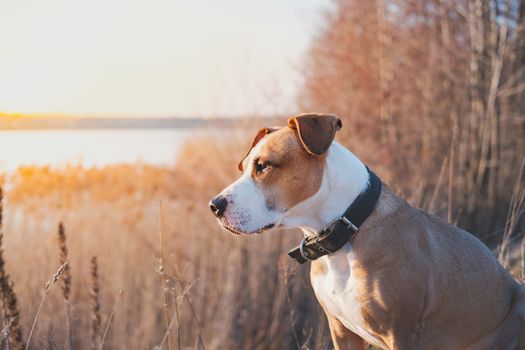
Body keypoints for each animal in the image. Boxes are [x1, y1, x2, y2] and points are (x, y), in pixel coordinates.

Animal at [209, 113, 524, 348]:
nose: (214, 205)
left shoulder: (402, 331)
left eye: (264, 166)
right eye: (243, 167)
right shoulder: (341, 330)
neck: (343, 232)